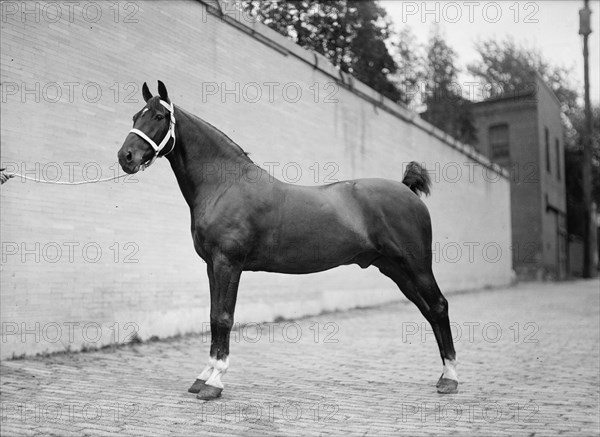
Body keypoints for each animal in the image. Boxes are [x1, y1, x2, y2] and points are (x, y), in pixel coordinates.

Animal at [117, 81, 458, 398]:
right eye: (135, 115)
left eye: (159, 116)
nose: (126, 156)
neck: (225, 185)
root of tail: (407, 189)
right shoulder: (212, 266)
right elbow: (213, 316)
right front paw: (203, 376)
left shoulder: (228, 264)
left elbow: (224, 317)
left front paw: (214, 383)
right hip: (394, 269)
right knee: (428, 310)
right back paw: (444, 375)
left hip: (416, 266)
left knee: (439, 306)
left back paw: (451, 379)